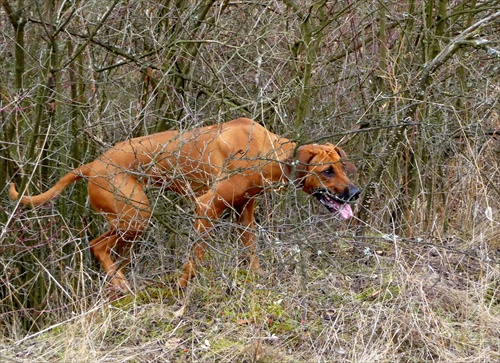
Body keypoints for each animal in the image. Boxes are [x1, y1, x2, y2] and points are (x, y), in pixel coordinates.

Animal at [8, 119, 360, 292]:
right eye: (327, 171)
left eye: (342, 166)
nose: (355, 192)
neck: (270, 152)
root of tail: (92, 166)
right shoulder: (205, 208)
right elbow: (197, 255)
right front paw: (184, 285)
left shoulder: (244, 212)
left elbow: (250, 248)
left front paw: (257, 275)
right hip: (136, 214)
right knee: (96, 245)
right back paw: (120, 283)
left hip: (129, 224)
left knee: (110, 251)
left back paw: (117, 283)